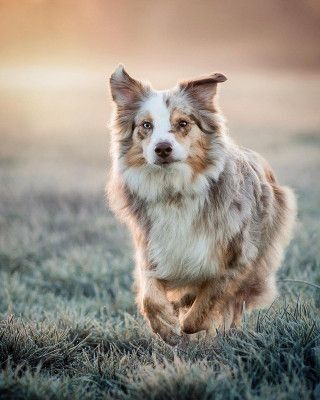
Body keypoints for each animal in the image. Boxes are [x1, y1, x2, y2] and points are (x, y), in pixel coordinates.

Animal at [106, 65, 296, 344]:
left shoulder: (235, 255)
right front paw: (165, 326)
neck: (175, 191)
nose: (162, 148)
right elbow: (150, 294)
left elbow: (206, 304)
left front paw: (190, 324)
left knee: (233, 305)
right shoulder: (151, 247)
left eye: (183, 123)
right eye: (146, 125)